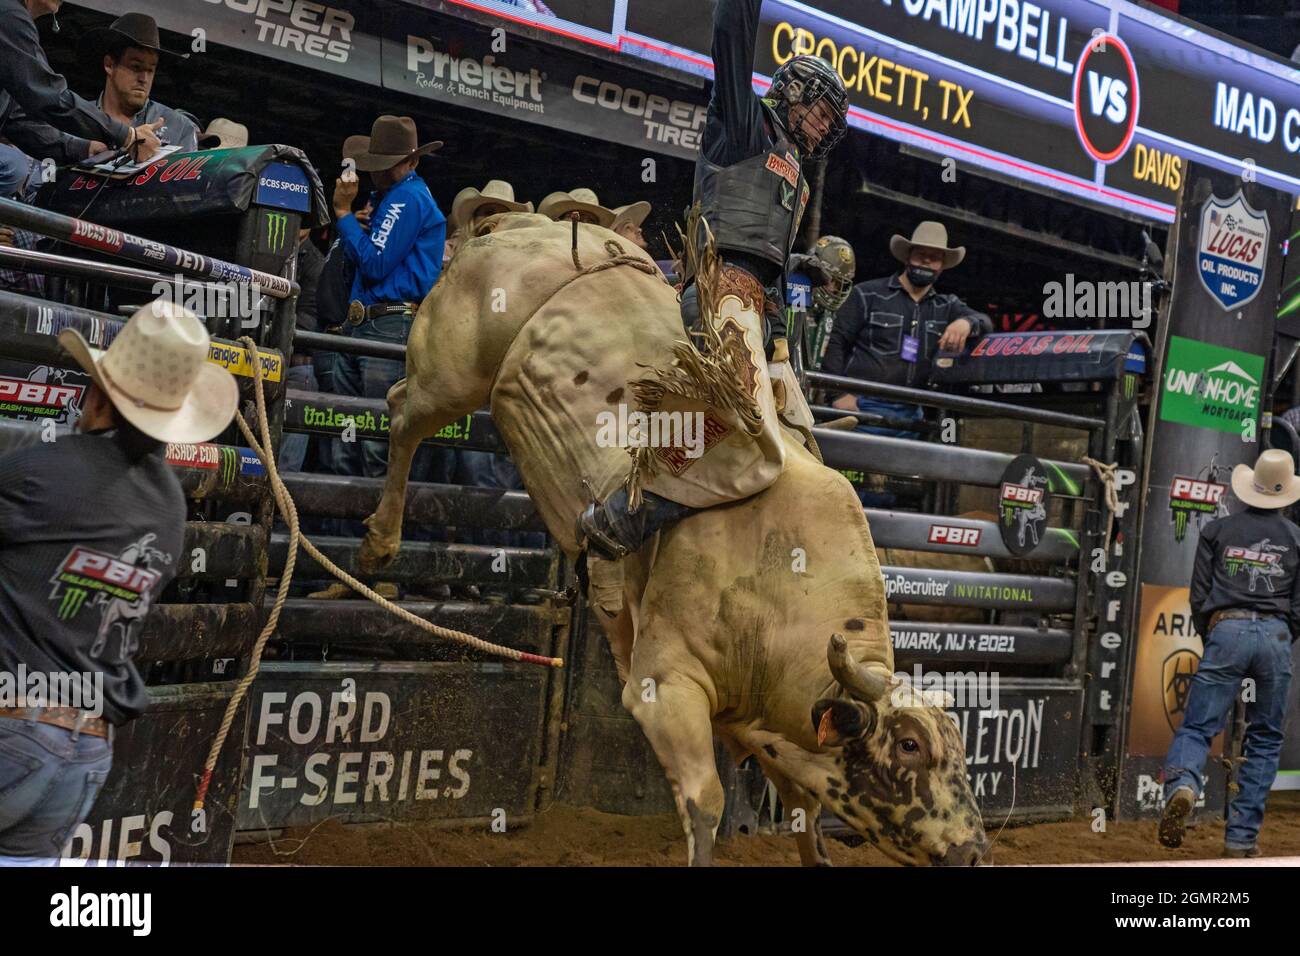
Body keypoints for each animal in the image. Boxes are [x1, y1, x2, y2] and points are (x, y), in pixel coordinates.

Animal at [356, 214, 982, 868]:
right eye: (909, 746)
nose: (972, 851)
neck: (783, 584)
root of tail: (526, 223)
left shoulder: (771, 728)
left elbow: (805, 814)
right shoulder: (665, 685)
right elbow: (706, 799)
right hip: (453, 372)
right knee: (403, 414)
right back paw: (379, 544)